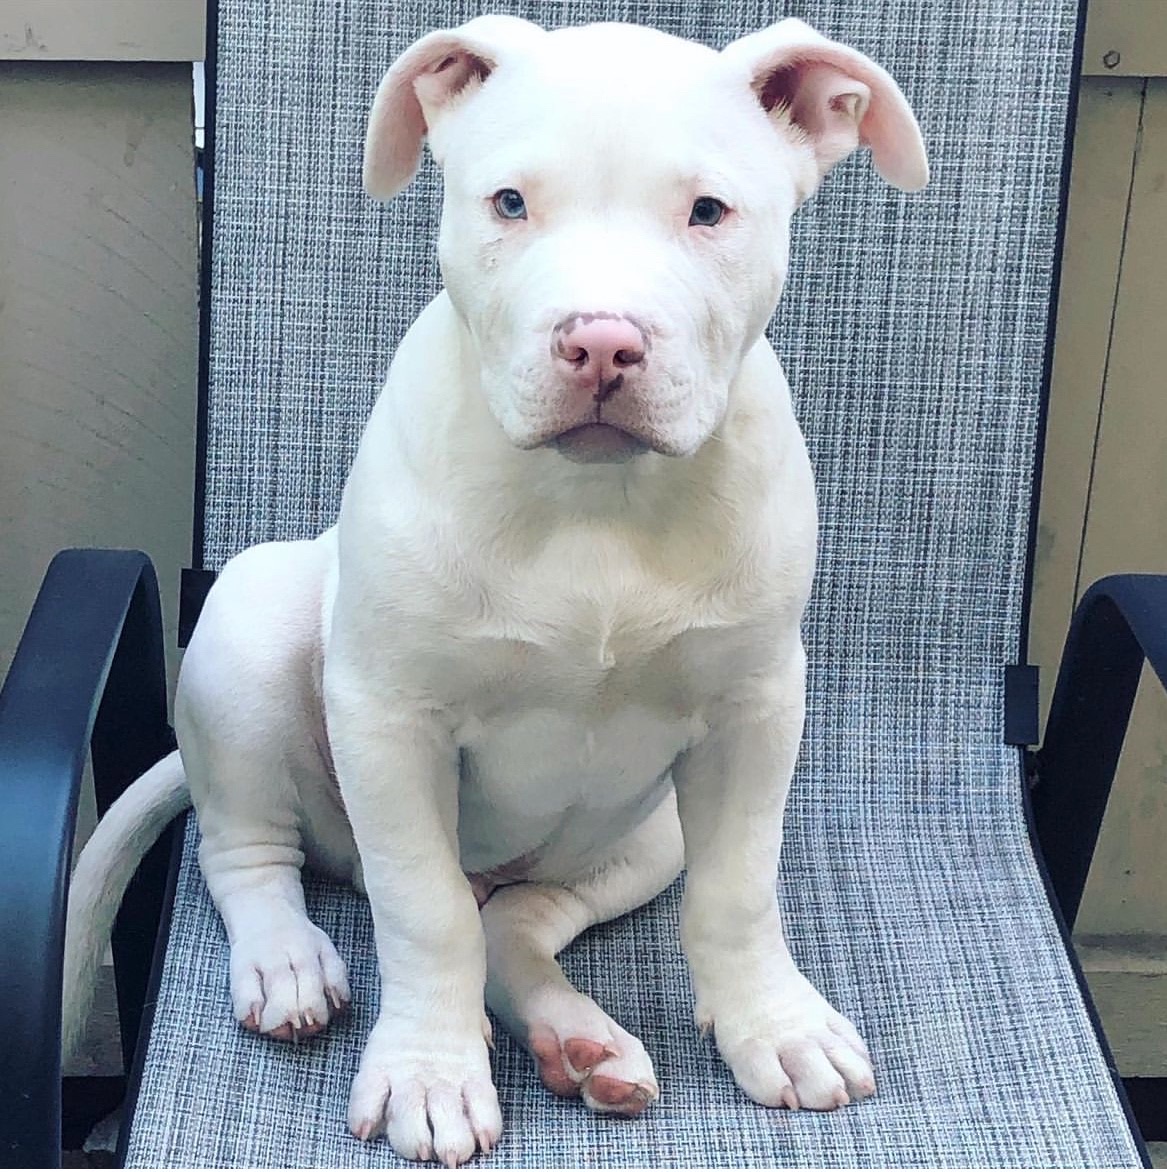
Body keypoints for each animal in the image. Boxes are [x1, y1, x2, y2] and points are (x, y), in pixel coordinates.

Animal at [63, 13, 923, 1167]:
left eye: (707, 211)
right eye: (510, 203)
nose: (601, 342)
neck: (595, 503)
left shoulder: (754, 709)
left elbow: (738, 890)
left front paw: (775, 1026)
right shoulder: (391, 718)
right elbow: (422, 911)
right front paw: (429, 1073)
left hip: (645, 837)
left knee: (514, 918)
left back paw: (577, 1039)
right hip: (246, 637)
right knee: (250, 849)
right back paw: (288, 961)